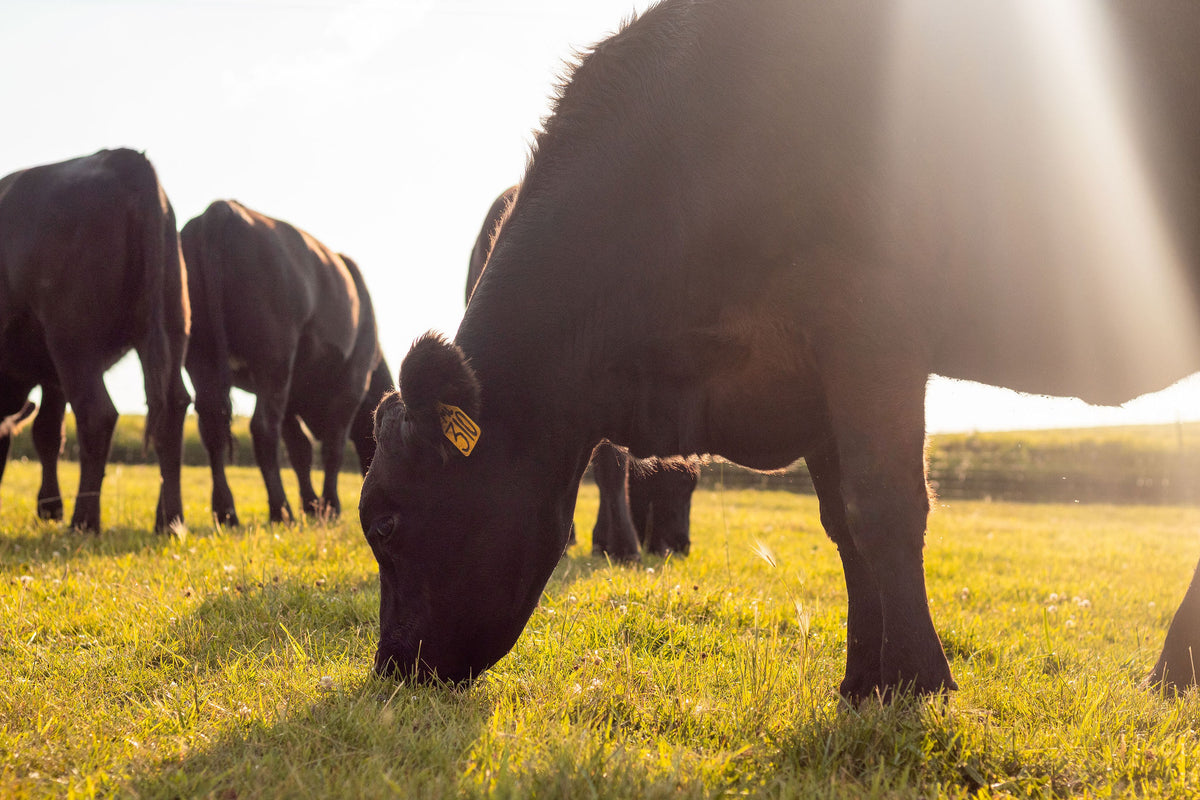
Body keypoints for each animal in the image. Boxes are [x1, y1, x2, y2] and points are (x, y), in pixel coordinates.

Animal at [0, 148, 190, 532]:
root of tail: (121, 158)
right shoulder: (51, 374)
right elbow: (47, 433)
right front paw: (49, 507)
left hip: (74, 341)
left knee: (97, 414)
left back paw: (84, 520)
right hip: (171, 328)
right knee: (173, 408)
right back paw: (170, 520)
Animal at [181, 200, 390, 525]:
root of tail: (221, 209)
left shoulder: (292, 394)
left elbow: (300, 448)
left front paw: (312, 504)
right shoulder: (351, 385)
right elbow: (333, 446)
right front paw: (329, 506)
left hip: (201, 357)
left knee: (211, 426)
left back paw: (226, 512)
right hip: (273, 359)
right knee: (263, 428)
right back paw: (281, 510)